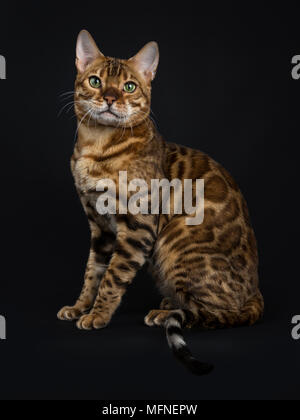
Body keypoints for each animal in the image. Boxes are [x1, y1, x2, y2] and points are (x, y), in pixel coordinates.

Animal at [57, 31, 264, 376]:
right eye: (96, 81)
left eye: (129, 87)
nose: (110, 98)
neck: (96, 147)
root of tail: (256, 291)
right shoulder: (100, 226)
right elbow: (93, 272)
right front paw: (80, 307)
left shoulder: (137, 226)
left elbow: (112, 277)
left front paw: (98, 315)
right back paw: (170, 304)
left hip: (173, 242)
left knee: (218, 313)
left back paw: (167, 313)